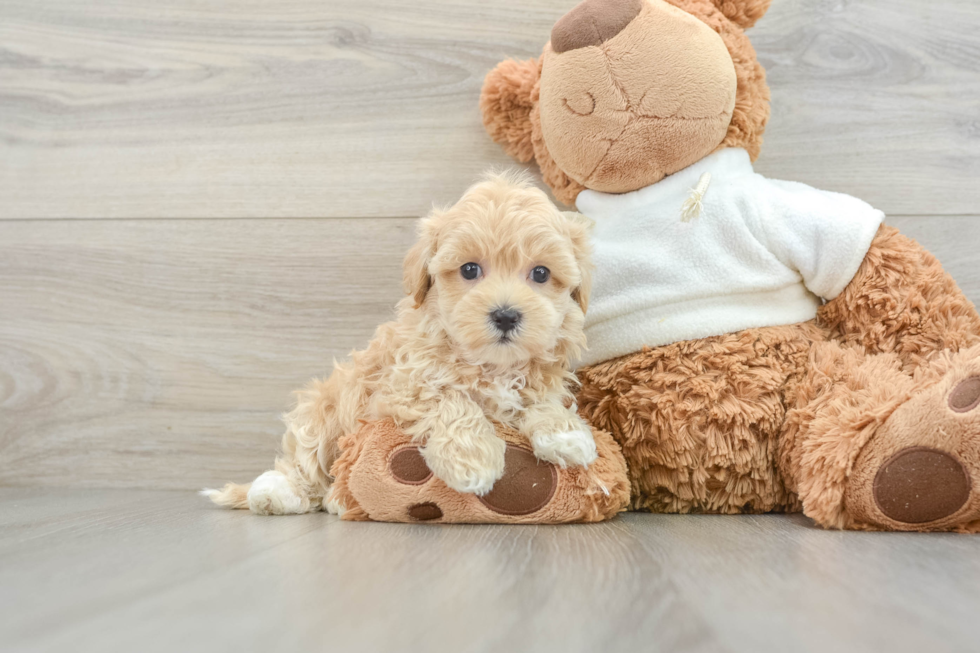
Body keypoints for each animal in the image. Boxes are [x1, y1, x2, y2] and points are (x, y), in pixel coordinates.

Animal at [207, 173, 596, 516]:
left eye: (541, 273)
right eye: (469, 269)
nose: (505, 315)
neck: (491, 364)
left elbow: (542, 400)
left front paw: (566, 434)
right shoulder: (394, 391)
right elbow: (449, 398)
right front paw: (472, 460)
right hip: (323, 411)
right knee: (305, 460)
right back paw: (282, 493)